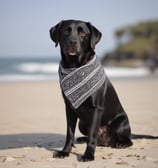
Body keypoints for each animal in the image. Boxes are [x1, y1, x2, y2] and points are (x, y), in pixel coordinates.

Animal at [49, 19, 132, 161]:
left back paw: (121, 143)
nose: (73, 42)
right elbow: (69, 133)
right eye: (66, 31)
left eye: (83, 33)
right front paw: (65, 152)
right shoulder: (69, 108)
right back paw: (82, 139)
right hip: (82, 124)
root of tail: (106, 140)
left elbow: (93, 134)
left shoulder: (96, 108)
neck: (75, 66)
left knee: (128, 139)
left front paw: (88, 155)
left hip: (120, 124)